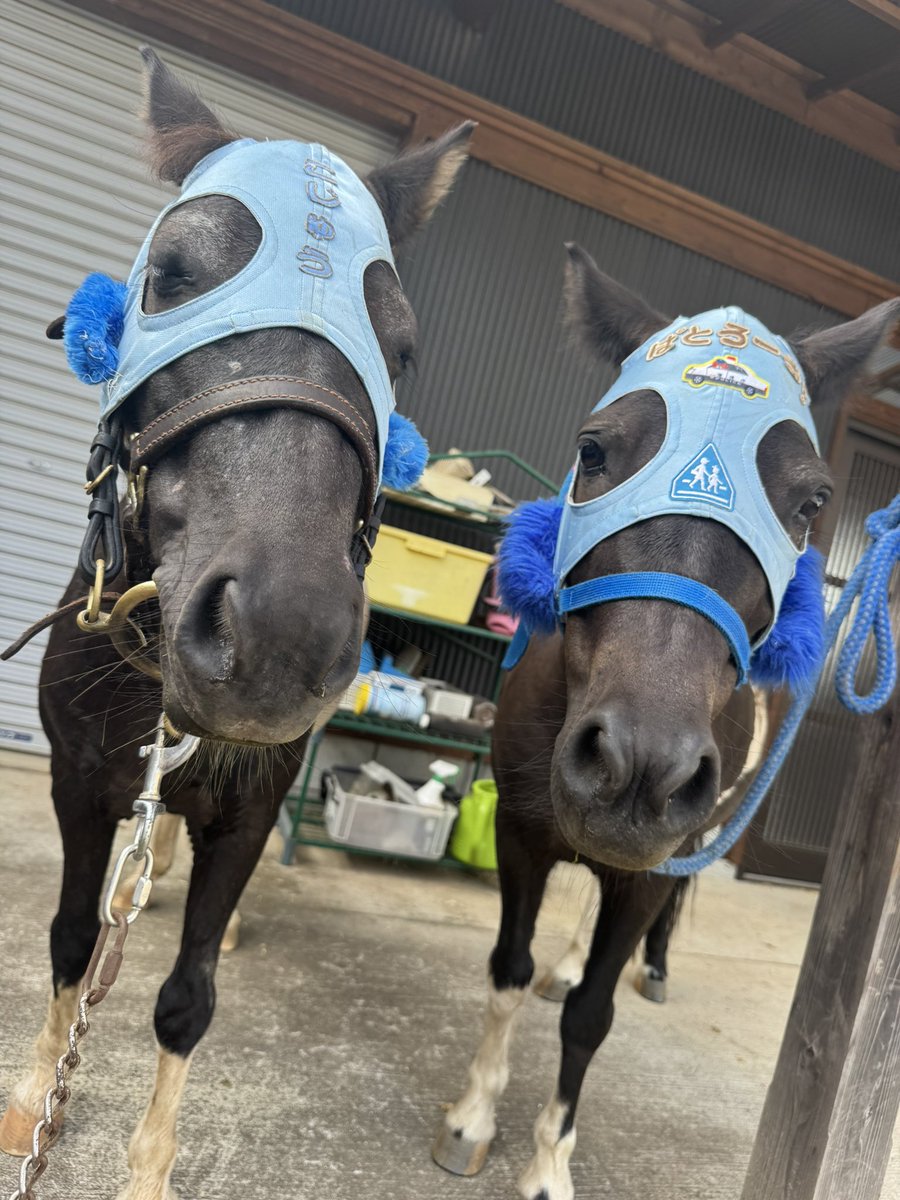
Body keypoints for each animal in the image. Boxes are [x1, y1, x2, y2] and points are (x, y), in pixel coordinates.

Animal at [0, 49, 471, 1199]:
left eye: (403, 347)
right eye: (169, 274)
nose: (278, 638)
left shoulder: (250, 808)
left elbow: (187, 998)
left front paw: (148, 1169)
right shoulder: (80, 780)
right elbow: (73, 940)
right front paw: (35, 1095)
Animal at [432, 244, 899, 1200]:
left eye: (812, 501)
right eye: (594, 449)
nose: (642, 767)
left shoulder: (651, 865)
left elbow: (589, 1019)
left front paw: (548, 1162)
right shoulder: (524, 839)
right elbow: (508, 974)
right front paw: (474, 1117)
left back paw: (651, 965)